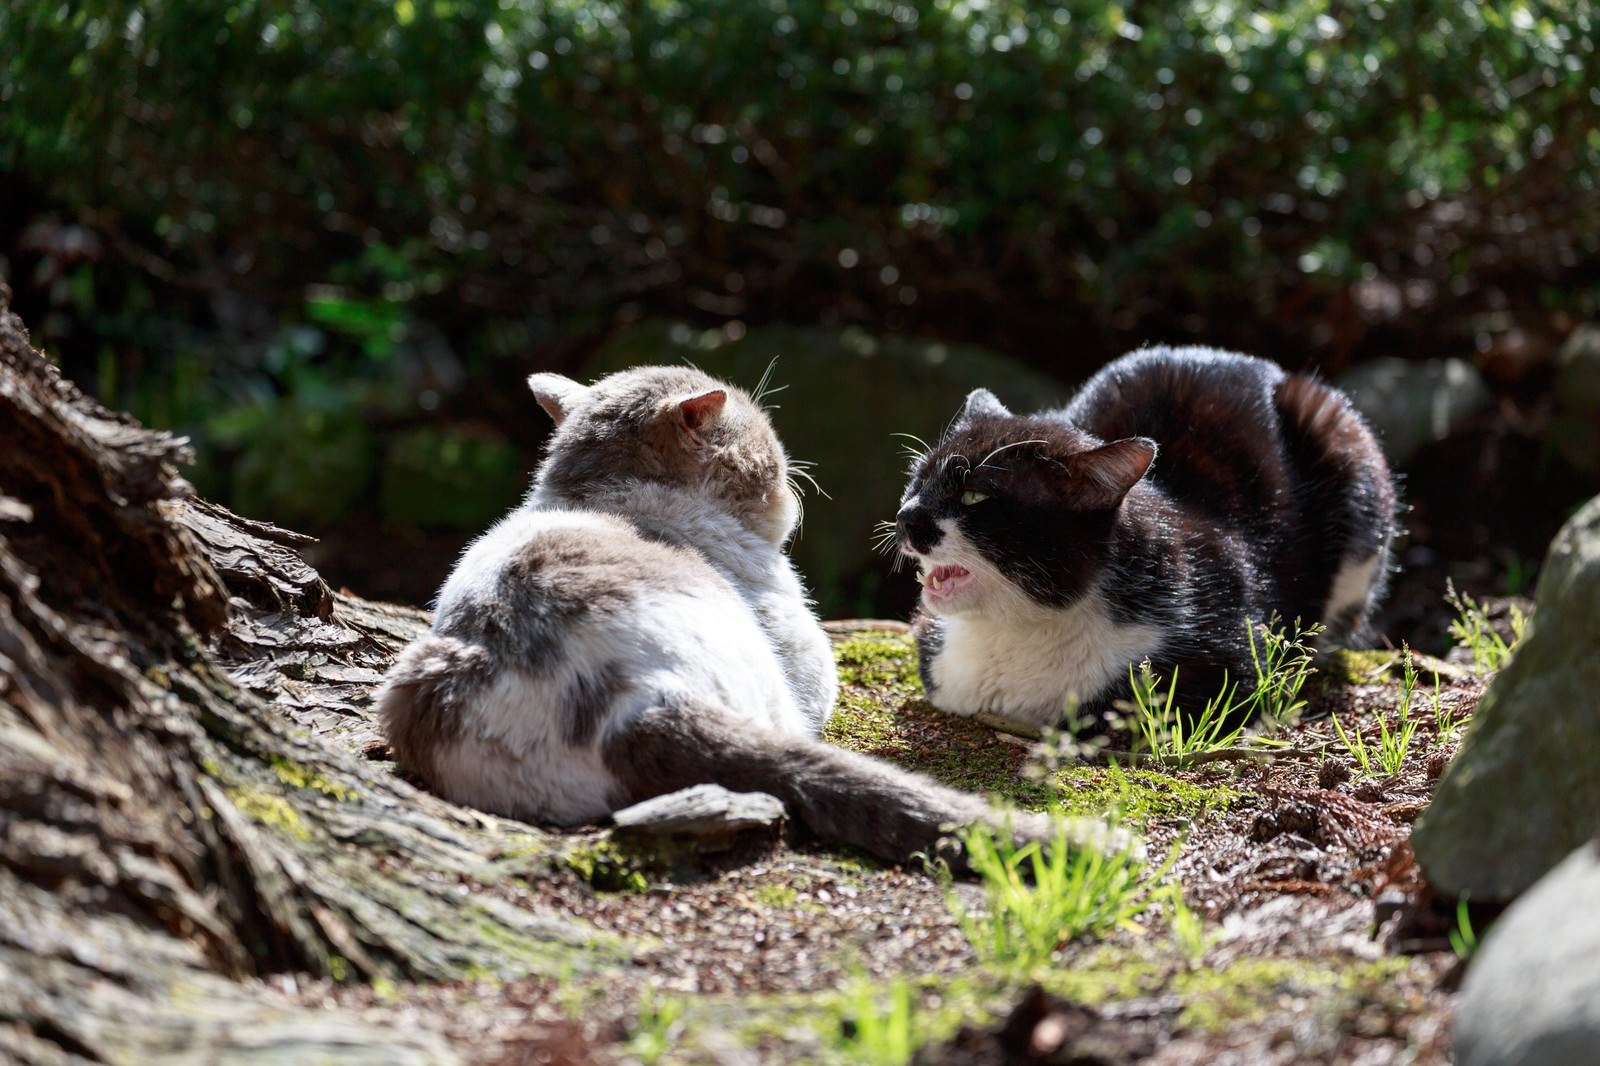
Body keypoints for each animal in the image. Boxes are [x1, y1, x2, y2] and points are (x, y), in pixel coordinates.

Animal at [902, 344, 1401, 726]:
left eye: (974, 496)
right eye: (919, 480)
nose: (907, 517)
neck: (1014, 630)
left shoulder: (1234, 651)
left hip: (1342, 437)